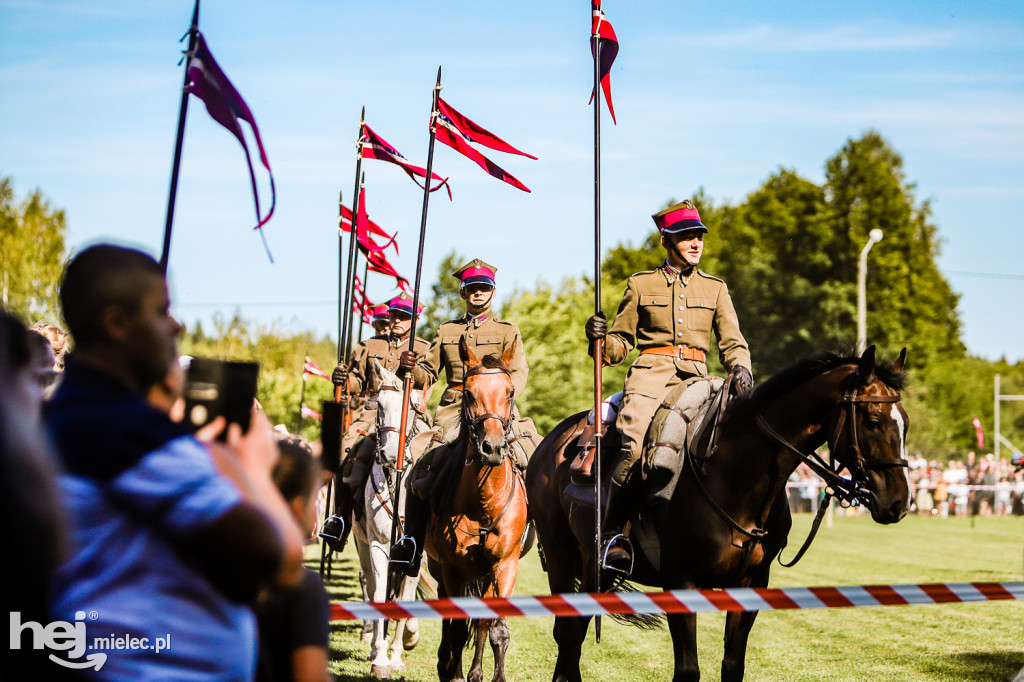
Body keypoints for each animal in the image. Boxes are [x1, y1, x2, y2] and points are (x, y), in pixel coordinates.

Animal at [352, 358, 436, 675]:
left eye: (411, 406)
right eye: (380, 405)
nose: (389, 454)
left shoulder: (417, 554)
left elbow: (404, 599)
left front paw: (398, 654)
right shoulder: (378, 544)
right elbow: (378, 594)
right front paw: (380, 658)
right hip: (362, 543)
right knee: (372, 584)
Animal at [425, 333, 532, 679]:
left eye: (509, 392)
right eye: (469, 393)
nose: (492, 448)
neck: (485, 500)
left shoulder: (505, 565)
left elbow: (496, 628)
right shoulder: (452, 568)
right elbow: (458, 628)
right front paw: (453, 671)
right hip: (441, 569)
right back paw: (446, 663)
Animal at [528, 348, 913, 675]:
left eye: (905, 422)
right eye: (873, 420)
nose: (899, 501)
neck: (734, 474)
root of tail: (550, 442)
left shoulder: (752, 582)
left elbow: (733, 664)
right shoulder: (680, 581)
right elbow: (688, 668)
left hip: (593, 569)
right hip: (562, 557)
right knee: (568, 636)